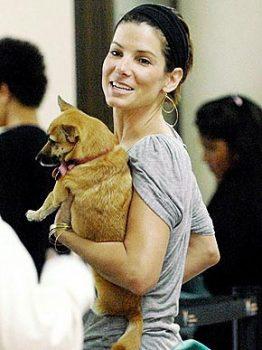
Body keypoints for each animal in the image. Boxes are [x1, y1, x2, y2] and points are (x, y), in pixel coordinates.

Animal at [25, 97, 142, 350]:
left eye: (52, 141)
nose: (37, 158)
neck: (96, 155)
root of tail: (135, 310)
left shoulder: (60, 189)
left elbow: (47, 203)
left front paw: (34, 215)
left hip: (98, 282)